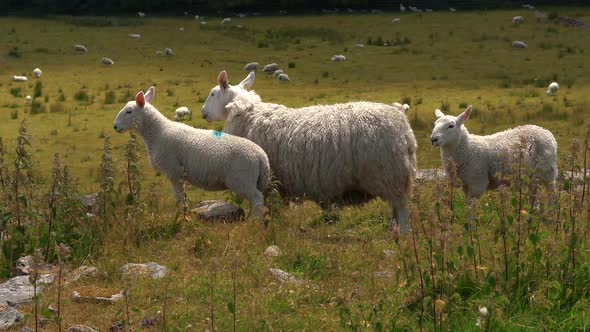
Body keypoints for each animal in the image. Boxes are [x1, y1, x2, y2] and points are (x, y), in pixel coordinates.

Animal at [114, 85, 272, 218]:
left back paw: (255, 220)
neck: (159, 132)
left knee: (257, 199)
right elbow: (182, 197)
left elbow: (178, 198)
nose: (115, 127)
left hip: (242, 179)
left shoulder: (174, 171)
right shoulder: (177, 173)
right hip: (253, 180)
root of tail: (262, 156)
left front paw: (180, 217)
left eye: (129, 111)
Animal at [201, 70, 418, 233]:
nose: (203, 112)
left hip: (390, 175)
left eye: (212, 93)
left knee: (402, 209)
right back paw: (393, 232)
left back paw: (403, 236)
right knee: (396, 210)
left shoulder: (268, 181)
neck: (247, 113)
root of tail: (401, 119)